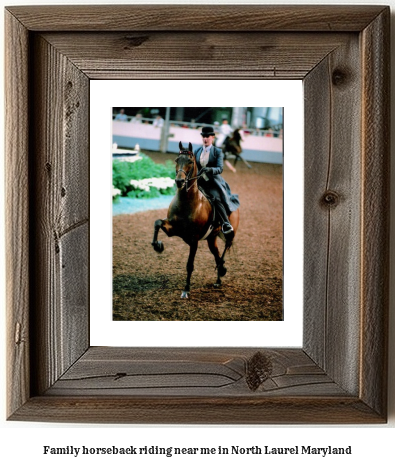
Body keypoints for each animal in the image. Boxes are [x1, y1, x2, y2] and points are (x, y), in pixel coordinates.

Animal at [152, 141, 240, 300]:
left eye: (190, 161)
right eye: (177, 160)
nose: (179, 181)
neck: (186, 201)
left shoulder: (193, 240)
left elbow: (190, 265)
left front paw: (186, 290)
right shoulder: (173, 229)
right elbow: (157, 222)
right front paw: (158, 246)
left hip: (229, 233)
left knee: (224, 250)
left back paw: (221, 271)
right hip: (211, 239)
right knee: (216, 254)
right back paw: (219, 277)